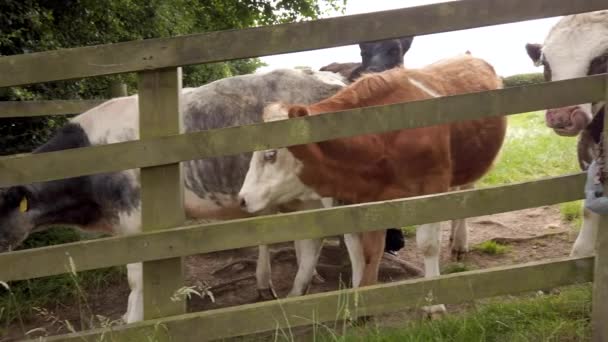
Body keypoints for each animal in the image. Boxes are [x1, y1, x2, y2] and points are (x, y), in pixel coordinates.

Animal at [0, 67, 366, 324]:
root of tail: (334, 80)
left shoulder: (135, 219)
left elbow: (136, 279)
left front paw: (135, 322)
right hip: (301, 197)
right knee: (311, 239)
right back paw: (294, 297)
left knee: (352, 236)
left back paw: (358, 300)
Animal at [240, 53, 506, 316]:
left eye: (271, 154)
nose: (242, 198)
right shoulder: (360, 201)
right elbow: (361, 250)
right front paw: (361, 301)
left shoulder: (432, 185)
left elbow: (428, 245)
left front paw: (435, 305)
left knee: (465, 192)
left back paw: (460, 242)